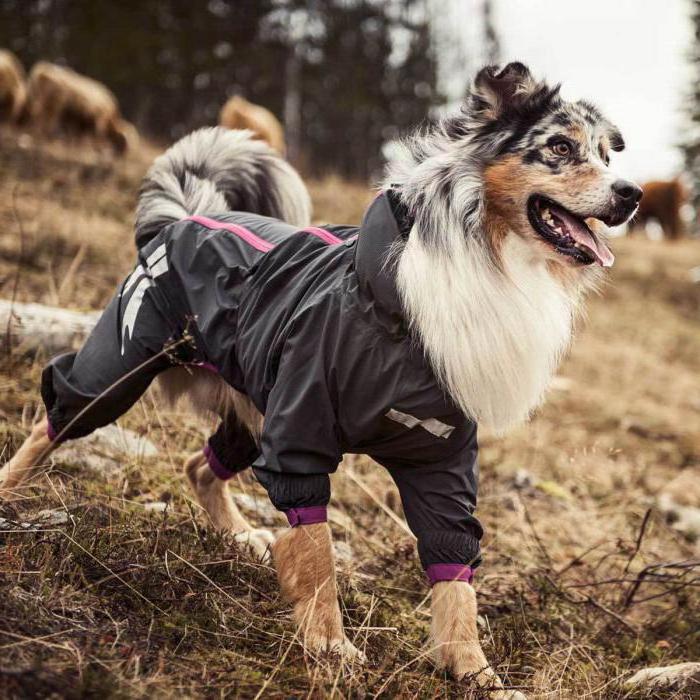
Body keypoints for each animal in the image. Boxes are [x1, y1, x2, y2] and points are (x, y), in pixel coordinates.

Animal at [0, 64, 640, 696]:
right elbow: (316, 552)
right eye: (560, 148)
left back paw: (239, 536)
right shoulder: (300, 431)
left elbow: (455, 569)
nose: (631, 194)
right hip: (124, 364)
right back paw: (11, 492)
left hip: (253, 405)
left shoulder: (441, 457)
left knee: (197, 465)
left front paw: (472, 669)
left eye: (606, 154)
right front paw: (330, 646)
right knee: (57, 417)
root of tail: (187, 214)